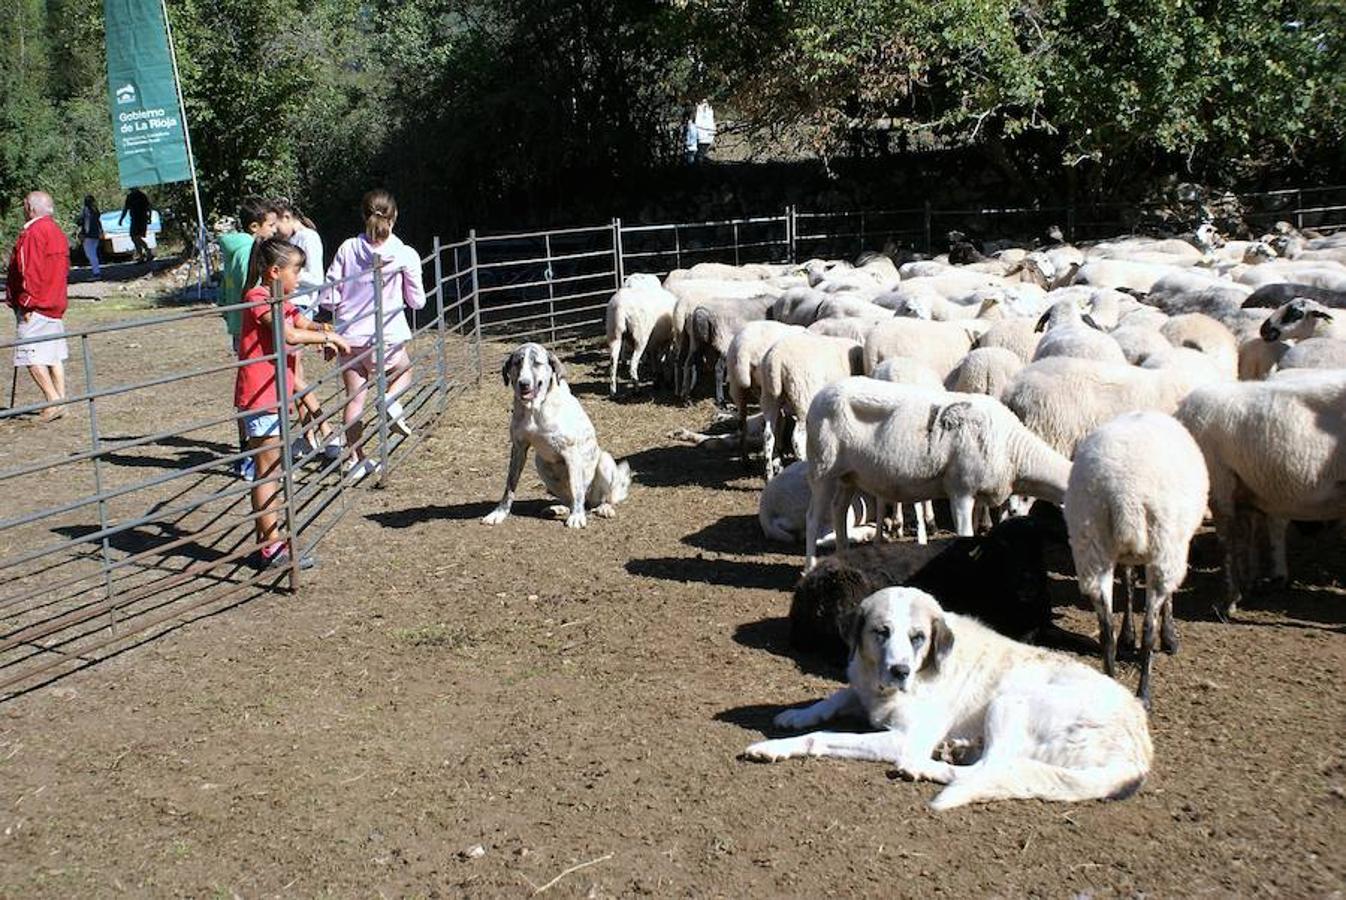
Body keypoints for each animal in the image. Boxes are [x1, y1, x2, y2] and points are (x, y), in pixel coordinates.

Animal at [481, 341, 632, 527]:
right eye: (517, 363)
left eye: (536, 363)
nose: (523, 383)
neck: (535, 409)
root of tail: (590, 501)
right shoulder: (518, 448)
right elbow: (509, 486)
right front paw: (499, 513)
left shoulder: (571, 452)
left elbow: (576, 488)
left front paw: (577, 517)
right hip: (541, 464)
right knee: (570, 500)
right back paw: (559, 509)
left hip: (604, 461)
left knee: (602, 499)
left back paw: (602, 508)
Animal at [742, 586, 1152, 812]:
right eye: (881, 632)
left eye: (918, 637)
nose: (900, 670)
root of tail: (1138, 755)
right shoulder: (862, 690)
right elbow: (834, 698)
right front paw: (795, 715)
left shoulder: (903, 737)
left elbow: (823, 738)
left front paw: (776, 746)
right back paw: (956, 749)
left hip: (1009, 702)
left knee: (988, 770)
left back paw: (923, 767)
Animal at [796, 379, 1071, 567]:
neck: (1014, 450)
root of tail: (820, 395)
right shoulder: (961, 490)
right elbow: (964, 534)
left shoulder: (978, 494)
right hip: (822, 468)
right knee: (812, 517)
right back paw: (809, 567)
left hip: (848, 475)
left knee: (839, 510)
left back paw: (842, 555)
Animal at [1071, 411, 1211, 704]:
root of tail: (1125, 494)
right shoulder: (1173, 546)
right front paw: (1170, 637)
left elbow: (1128, 580)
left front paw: (1128, 635)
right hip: (1163, 545)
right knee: (1149, 626)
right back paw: (1144, 693)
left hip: (1091, 547)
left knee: (1106, 630)